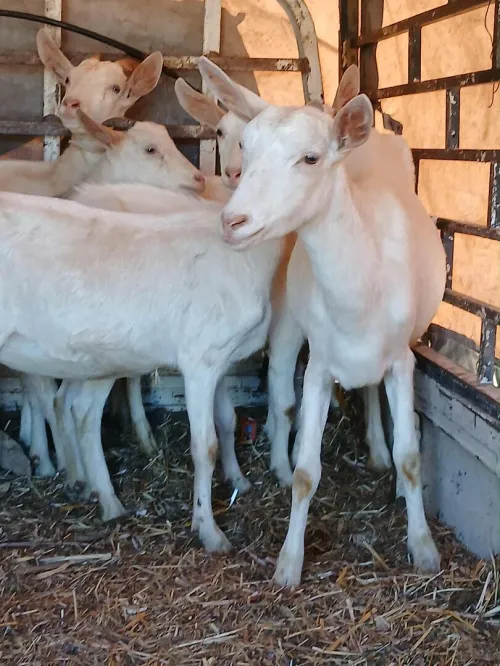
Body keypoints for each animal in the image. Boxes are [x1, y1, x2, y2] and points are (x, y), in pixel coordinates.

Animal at [221, 94, 446, 585]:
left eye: (310, 158)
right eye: (245, 146)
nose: (232, 221)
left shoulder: (401, 360)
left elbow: (411, 457)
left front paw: (423, 548)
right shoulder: (321, 364)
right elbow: (307, 472)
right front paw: (288, 564)